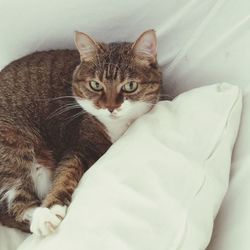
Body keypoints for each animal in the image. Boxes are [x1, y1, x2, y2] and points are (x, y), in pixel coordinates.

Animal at [0, 30, 162, 235]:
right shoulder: (80, 145)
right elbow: (65, 173)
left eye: (130, 86)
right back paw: (40, 216)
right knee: (15, 204)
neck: (116, 126)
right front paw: (50, 209)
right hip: (14, 144)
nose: (110, 107)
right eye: (96, 85)